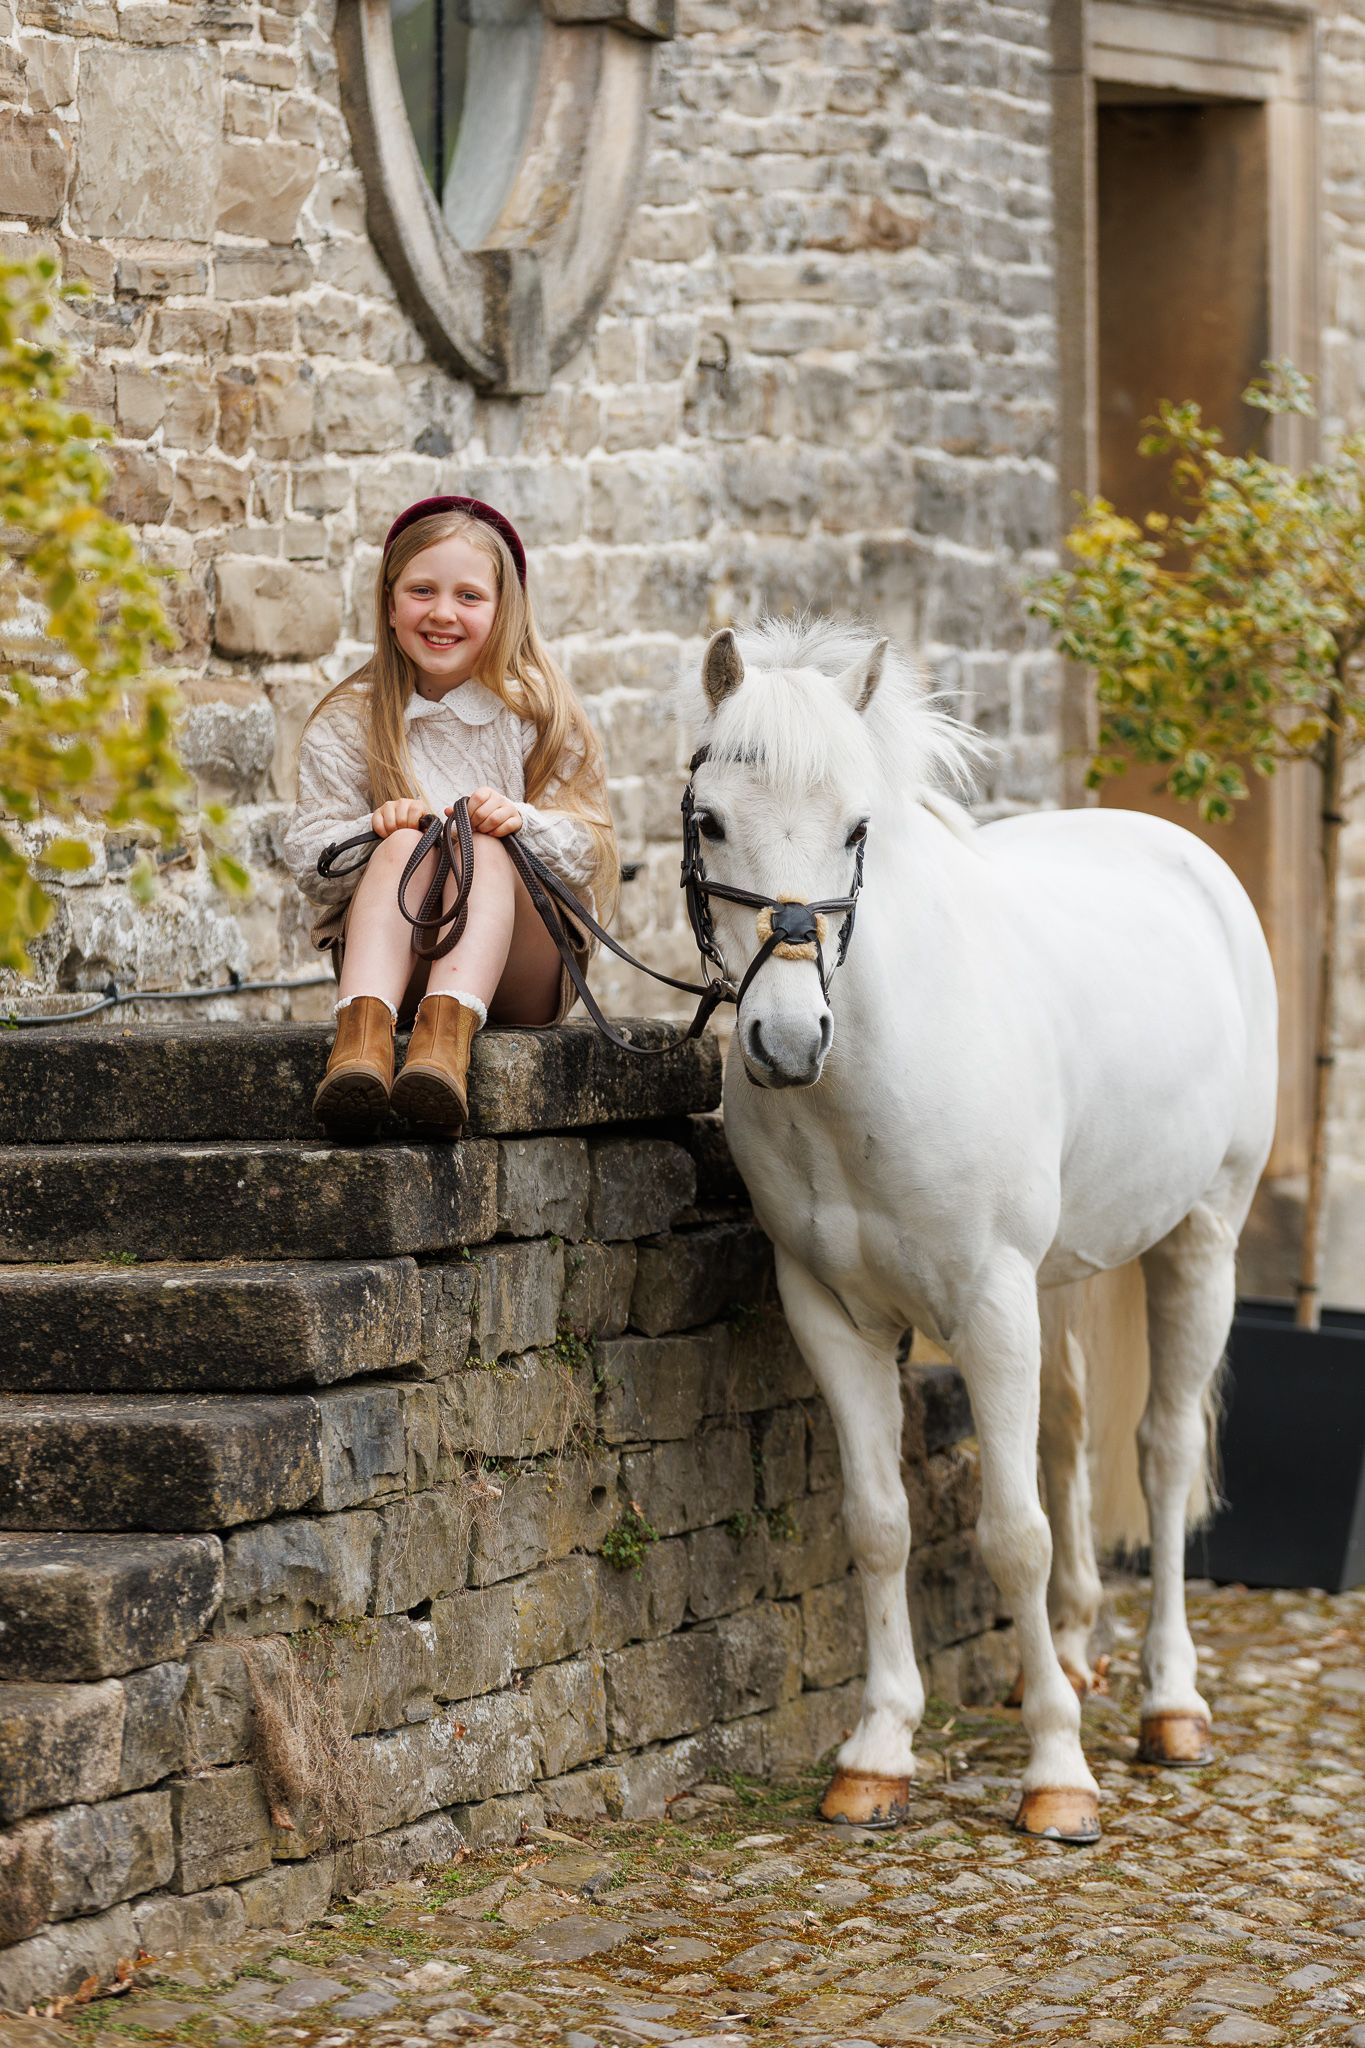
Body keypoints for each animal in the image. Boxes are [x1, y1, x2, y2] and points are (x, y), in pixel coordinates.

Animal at [681, 615, 1278, 1843]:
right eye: (710, 818)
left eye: (857, 827)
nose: (785, 1040)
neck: (872, 1070)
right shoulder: (832, 1314)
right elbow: (879, 1523)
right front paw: (877, 1751)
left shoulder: (989, 1304)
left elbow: (1011, 1534)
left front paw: (1057, 1775)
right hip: (1056, 1285)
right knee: (1071, 1438)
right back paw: (1074, 1655)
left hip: (1201, 1239)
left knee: (1160, 1452)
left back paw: (1170, 1705)